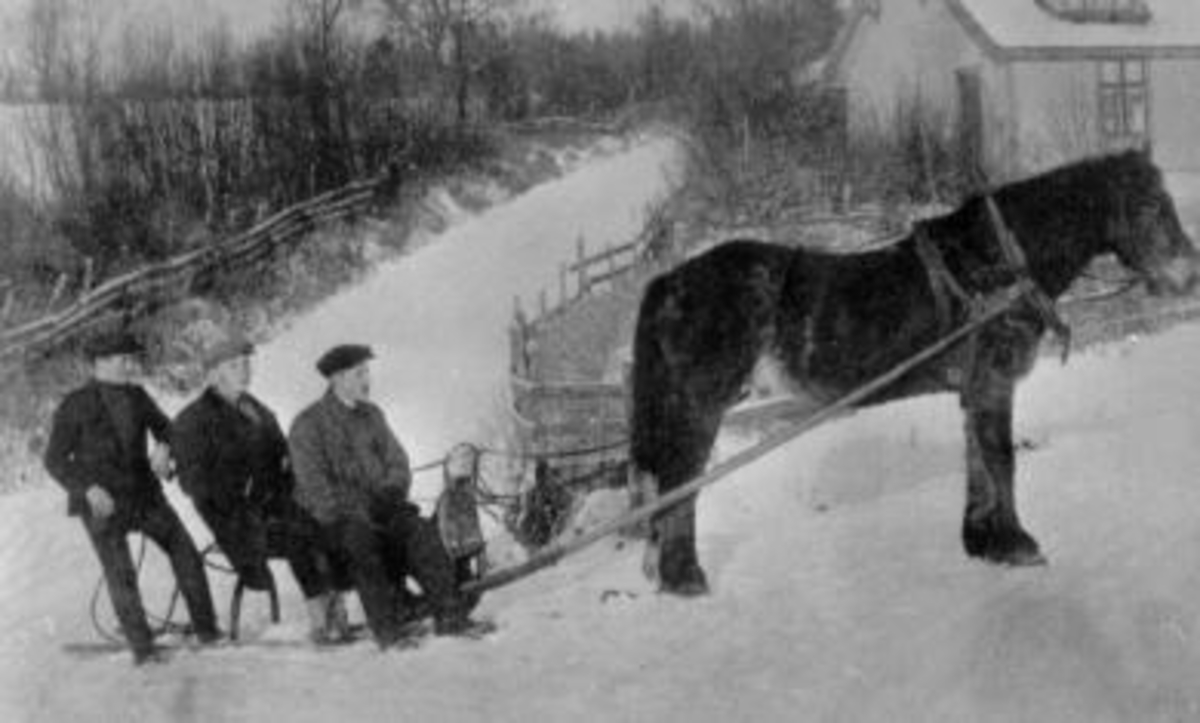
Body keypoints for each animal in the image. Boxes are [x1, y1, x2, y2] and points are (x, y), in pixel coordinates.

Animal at [633, 150, 1195, 590]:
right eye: (1151, 205)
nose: (1188, 276)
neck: (995, 265)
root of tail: (670, 280)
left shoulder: (975, 391)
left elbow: (979, 464)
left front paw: (983, 542)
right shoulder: (994, 384)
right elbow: (1002, 462)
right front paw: (1018, 544)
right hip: (699, 407)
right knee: (680, 483)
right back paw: (685, 578)